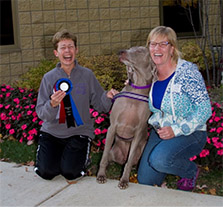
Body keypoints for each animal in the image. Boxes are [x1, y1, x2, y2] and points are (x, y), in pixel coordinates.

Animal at [96, 46, 155, 189]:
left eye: (139, 50)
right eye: (130, 48)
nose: (120, 52)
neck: (137, 89)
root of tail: (121, 158)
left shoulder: (139, 132)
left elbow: (129, 160)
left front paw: (124, 180)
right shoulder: (112, 127)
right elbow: (103, 157)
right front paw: (101, 176)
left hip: (141, 150)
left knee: (130, 162)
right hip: (113, 151)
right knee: (109, 158)